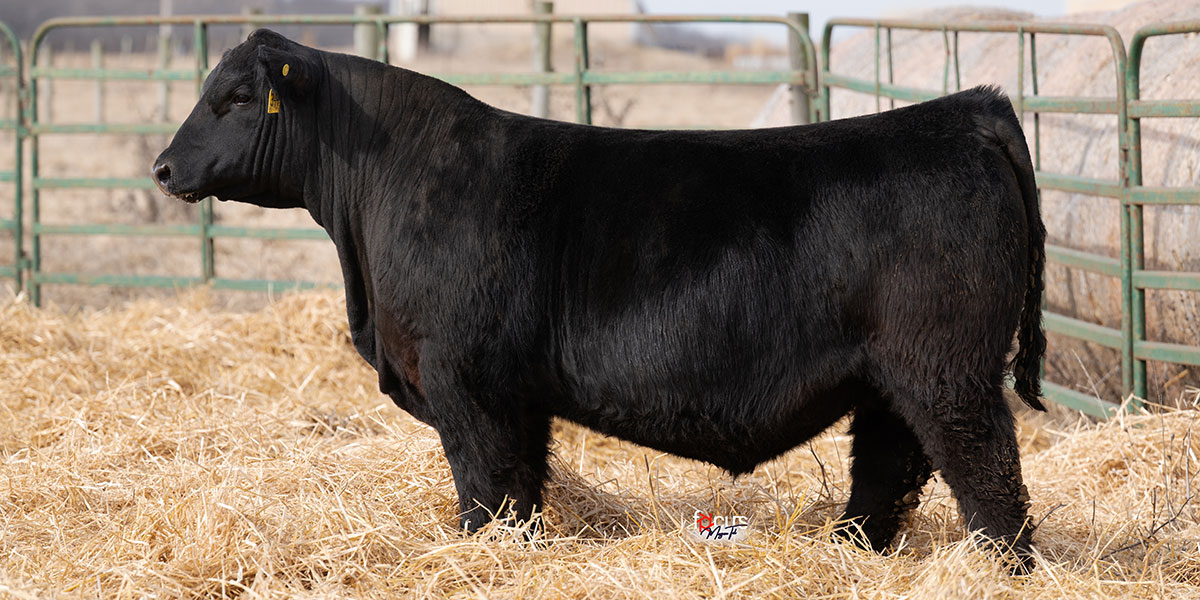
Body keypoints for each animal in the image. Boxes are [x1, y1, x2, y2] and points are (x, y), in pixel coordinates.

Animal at [153, 29, 1047, 571]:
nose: (162, 167)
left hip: (949, 375)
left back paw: (1002, 569)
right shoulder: (514, 394)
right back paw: (851, 553)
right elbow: (519, 487)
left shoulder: (465, 381)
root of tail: (966, 109)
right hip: (890, 380)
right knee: (889, 470)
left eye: (235, 98)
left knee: (989, 477)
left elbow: (484, 485)